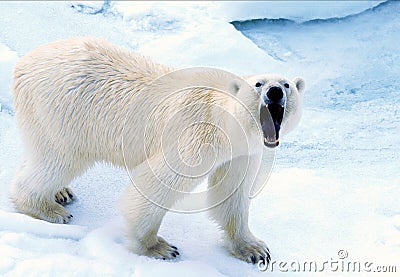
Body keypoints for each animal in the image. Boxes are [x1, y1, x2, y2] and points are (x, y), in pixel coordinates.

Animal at [9, 36, 304, 264]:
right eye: (259, 83)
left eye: (287, 84)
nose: (275, 92)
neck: (226, 121)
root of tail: (23, 63)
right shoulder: (197, 137)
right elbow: (155, 184)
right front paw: (158, 247)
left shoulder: (242, 152)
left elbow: (231, 193)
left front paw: (254, 249)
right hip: (63, 112)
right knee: (58, 159)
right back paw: (48, 208)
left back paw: (61, 192)